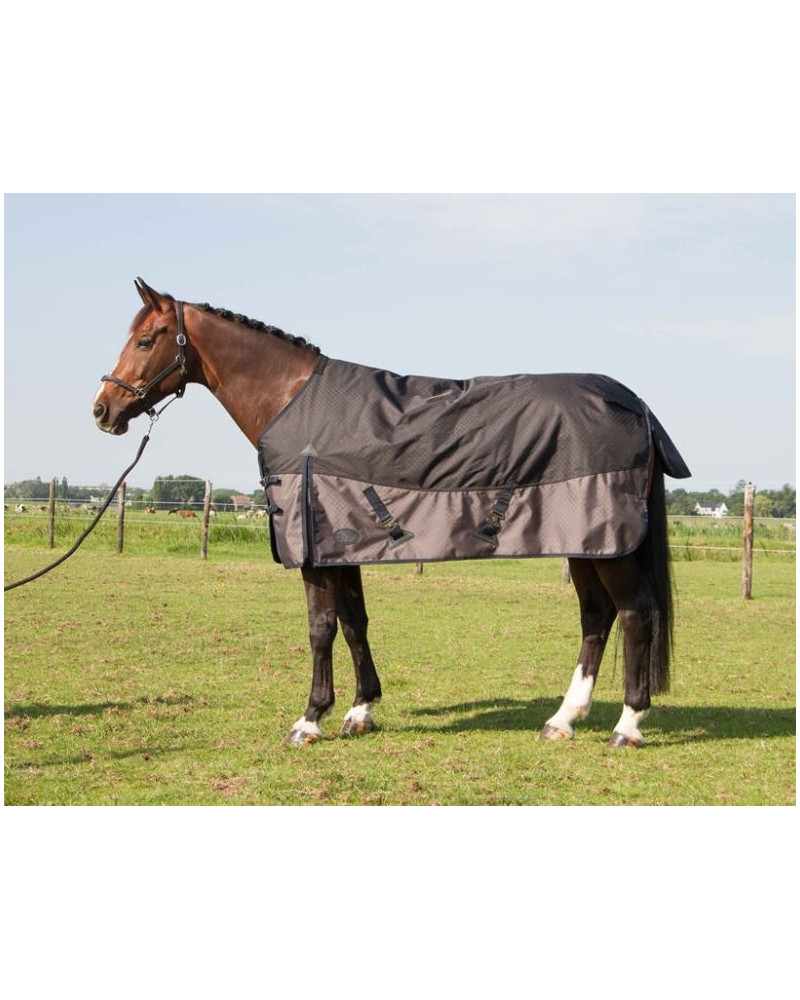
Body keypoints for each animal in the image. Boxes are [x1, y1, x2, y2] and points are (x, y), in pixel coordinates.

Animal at [93, 278, 690, 748]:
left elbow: (321, 627)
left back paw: (627, 726)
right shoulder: (341, 545)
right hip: (585, 542)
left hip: (609, 545)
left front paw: (310, 720)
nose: (103, 410)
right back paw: (562, 720)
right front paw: (360, 711)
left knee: (635, 614)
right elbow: (354, 623)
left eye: (145, 340)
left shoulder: (315, 551)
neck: (292, 402)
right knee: (597, 616)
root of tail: (634, 404)